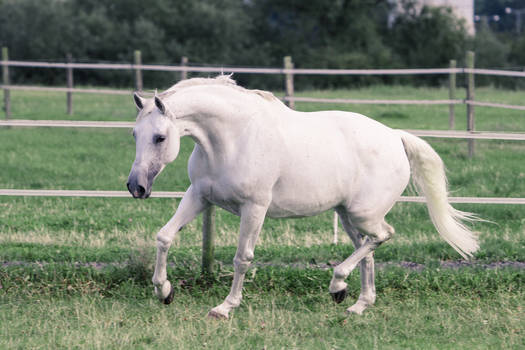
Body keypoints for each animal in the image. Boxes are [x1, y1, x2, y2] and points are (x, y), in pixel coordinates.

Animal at [126, 75, 474, 318]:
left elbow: (242, 258)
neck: (232, 138)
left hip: (363, 214)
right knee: (367, 249)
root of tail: (394, 137)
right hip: (348, 216)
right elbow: (164, 237)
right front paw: (164, 291)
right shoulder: (199, 196)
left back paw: (338, 285)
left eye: (160, 137)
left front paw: (224, 307)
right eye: (134, 134)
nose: (136, 187)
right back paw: (357, 304)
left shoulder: (254, 208)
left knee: (383, 236)